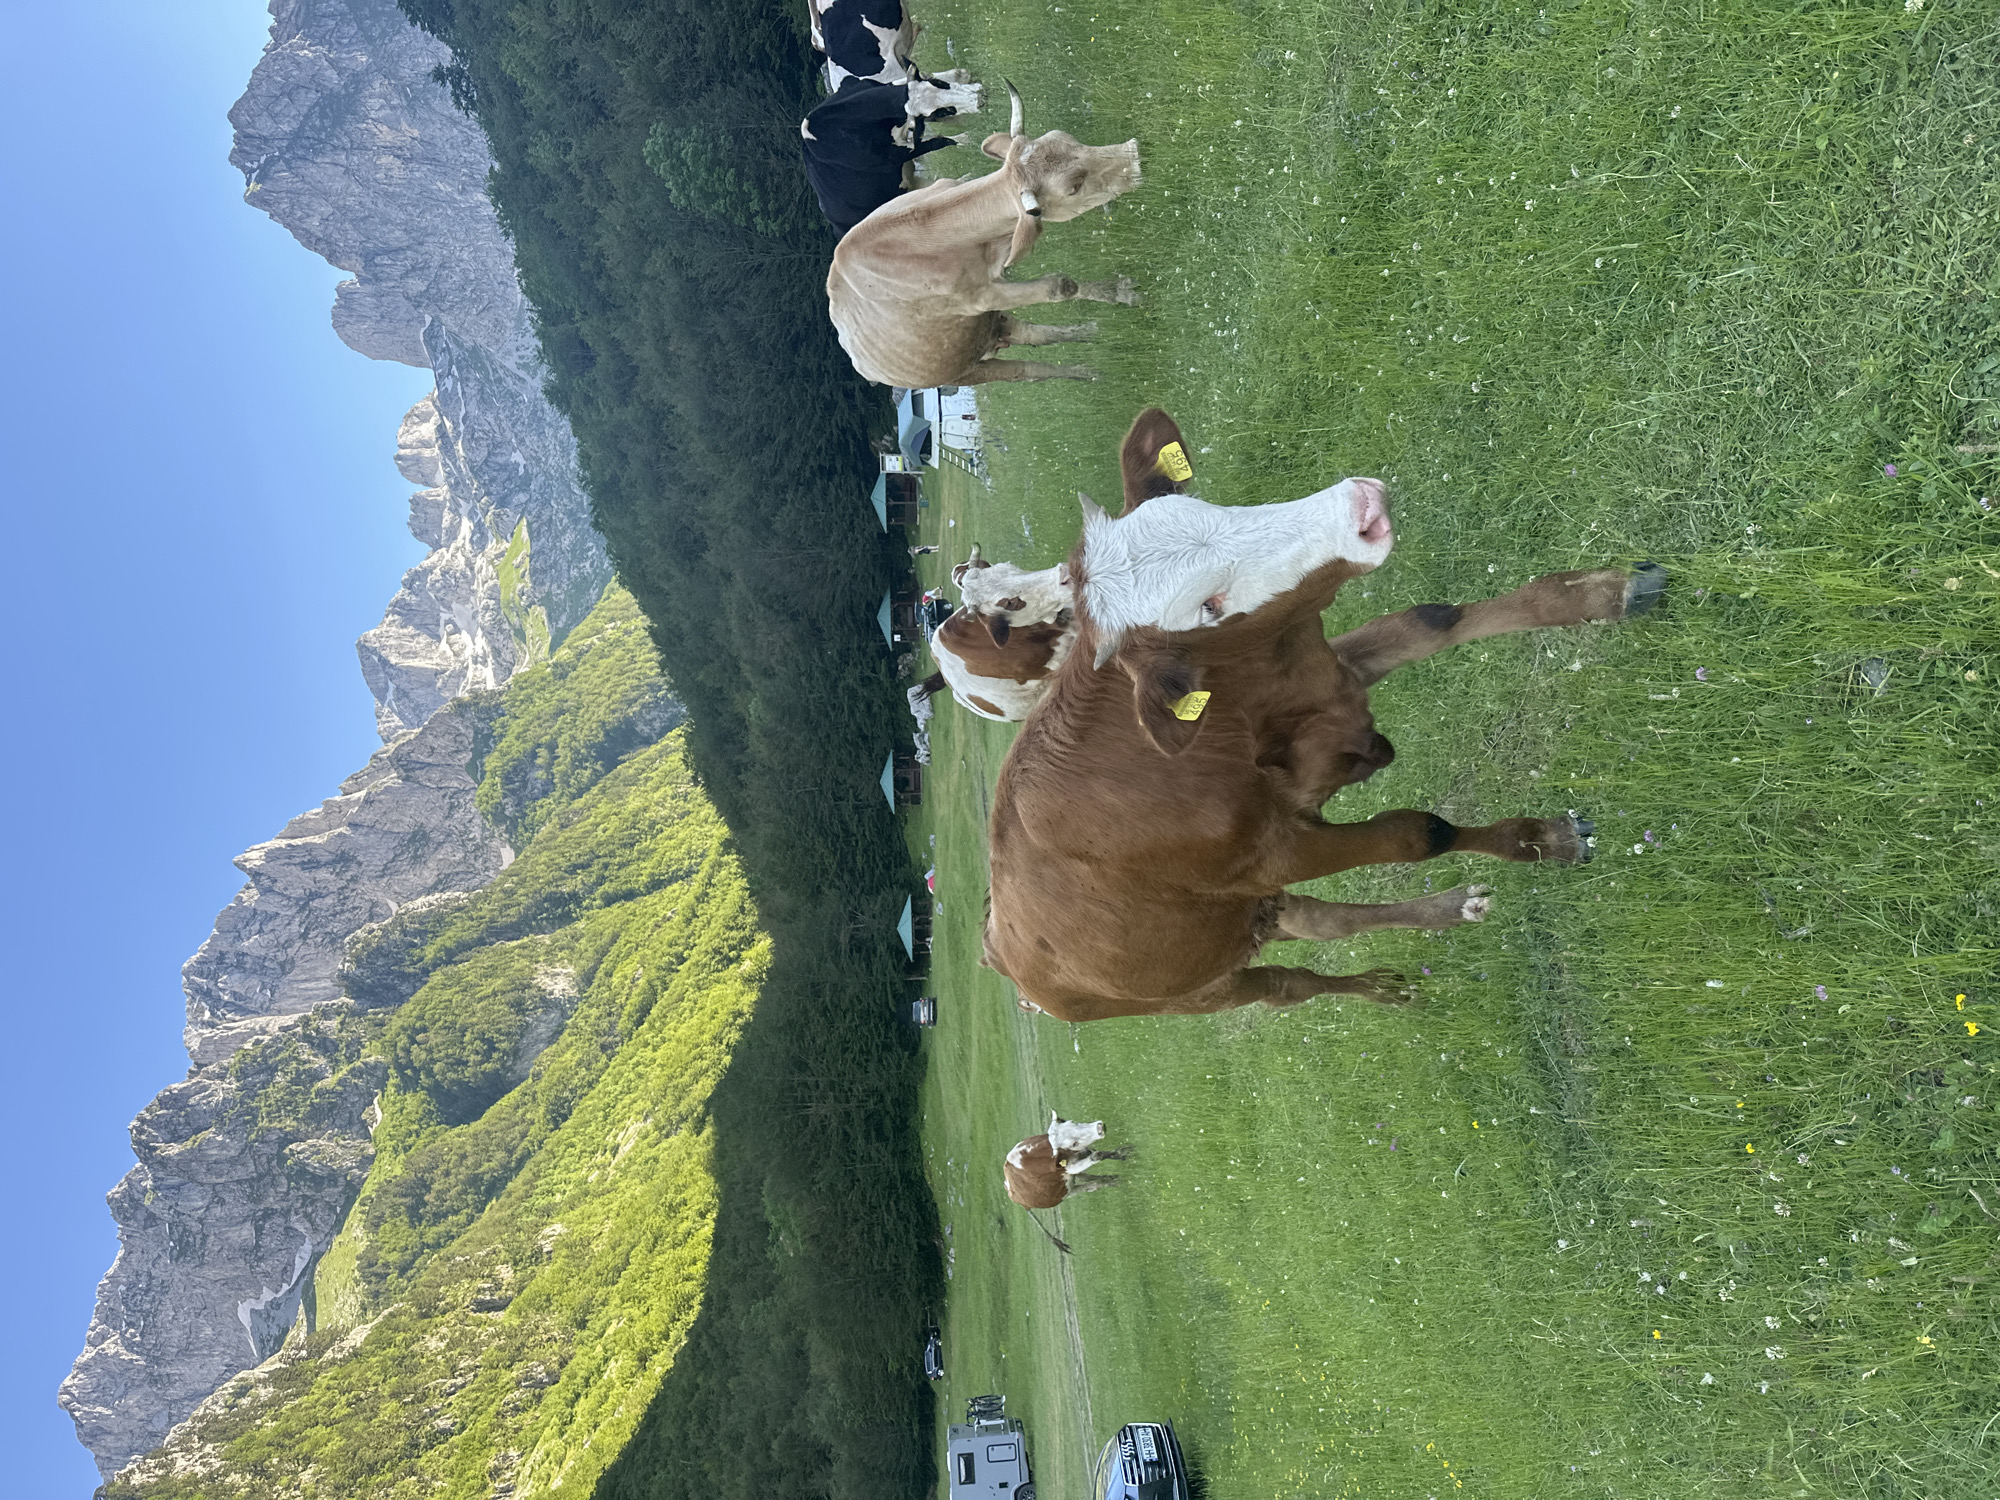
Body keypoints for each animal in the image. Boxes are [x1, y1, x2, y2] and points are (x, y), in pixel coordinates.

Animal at [802, 75, 983, 237]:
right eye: (940, 112)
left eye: (939, 83)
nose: (979, 96)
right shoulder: (896, 155)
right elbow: (941, 141)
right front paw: (972, 137)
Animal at [826, 85, 1142, 388]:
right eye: (1073, 187)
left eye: (1067, 137)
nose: (1134, 154)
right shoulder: (983, 297)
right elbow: (1060, 286)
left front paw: (1118, 293)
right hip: (967, 370)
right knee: (1027, 370)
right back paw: (1082, 371)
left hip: (988, 327)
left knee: (1033, 334)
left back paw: (1088, 339)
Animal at [982, 407, 1667, 1023]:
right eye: (1209, 606)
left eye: (1208, 508)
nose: (1361, 508)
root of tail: (996, 950)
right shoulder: (1279, 853)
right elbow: (1419, 833)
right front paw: (1532, 841)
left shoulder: (1329, 678)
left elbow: (1434, 620)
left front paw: (1607, 593)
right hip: (1207, 986)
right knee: (1291, 985)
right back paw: (1373, 988)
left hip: (1254, 913)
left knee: (1326, 922)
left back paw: (1442, 915)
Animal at [1003, 1115, 1133, 1209]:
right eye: (1074, 1143)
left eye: (1072, 1122)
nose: (1100, 1128)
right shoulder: (1069, 1167)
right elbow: (1096, 1155)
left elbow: (1096, 1152)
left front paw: (1121, 1153)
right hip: (1067, 1193)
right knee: (1091, 1186)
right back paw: (1110, 1181)